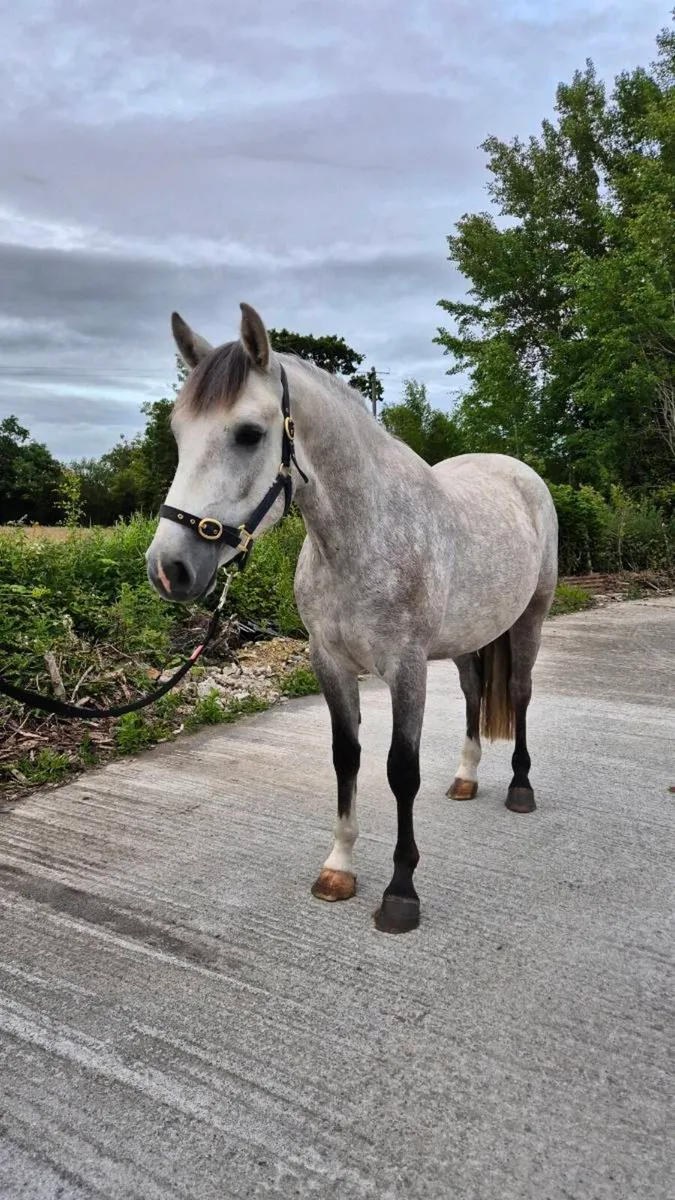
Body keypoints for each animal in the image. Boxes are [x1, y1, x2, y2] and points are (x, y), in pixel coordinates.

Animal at [146, 303, 558, 934]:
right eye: (177, 433)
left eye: (249, 434)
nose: (169, 569)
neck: (363, 535)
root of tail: (519, 473)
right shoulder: (331, 663)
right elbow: (347, 758)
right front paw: (338, 867)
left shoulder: (407, 669)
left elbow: (401, 770)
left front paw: (400, 892)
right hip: (468, 636)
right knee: (473, 692)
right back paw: (466, 778)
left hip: (531, 618)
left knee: (518, 691)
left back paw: (519, 787)